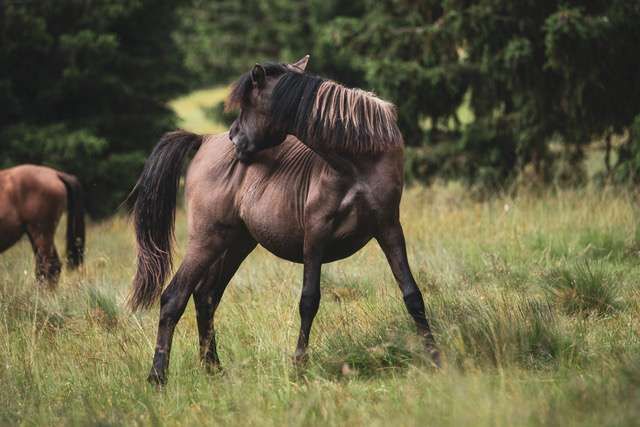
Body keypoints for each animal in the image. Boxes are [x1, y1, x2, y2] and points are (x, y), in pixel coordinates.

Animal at [130, 55, 440, 386]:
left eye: (248, 104)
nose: (235, 138)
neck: (356, 164)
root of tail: (204, 140)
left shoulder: (389, 228)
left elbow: (411, 293)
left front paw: (435, 358)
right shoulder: (315, 235)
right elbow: (309, 300)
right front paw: (299, 367)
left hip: (235, 243)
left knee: (205, 296)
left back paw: (214, 369)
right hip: (206, 239)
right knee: (174, 297)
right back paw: (157, 377)